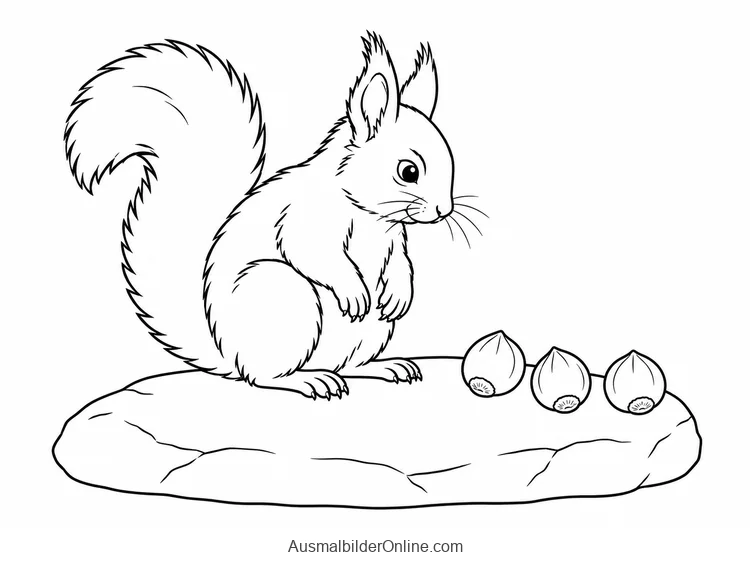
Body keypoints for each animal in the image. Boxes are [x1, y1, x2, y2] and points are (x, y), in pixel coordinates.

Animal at [64, 33, 455, 399]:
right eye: (408, 171)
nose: (444, 210)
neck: (370, 217)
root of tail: (228, 354)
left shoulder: (394, 237)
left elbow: (401, 262)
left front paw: (400, 294)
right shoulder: (304, 217)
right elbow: (313, 253)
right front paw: (354, 291)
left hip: (371, 332)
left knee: (349, 365)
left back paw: (384, 366)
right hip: (283, 293)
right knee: (264, 377)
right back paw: (309, 379)